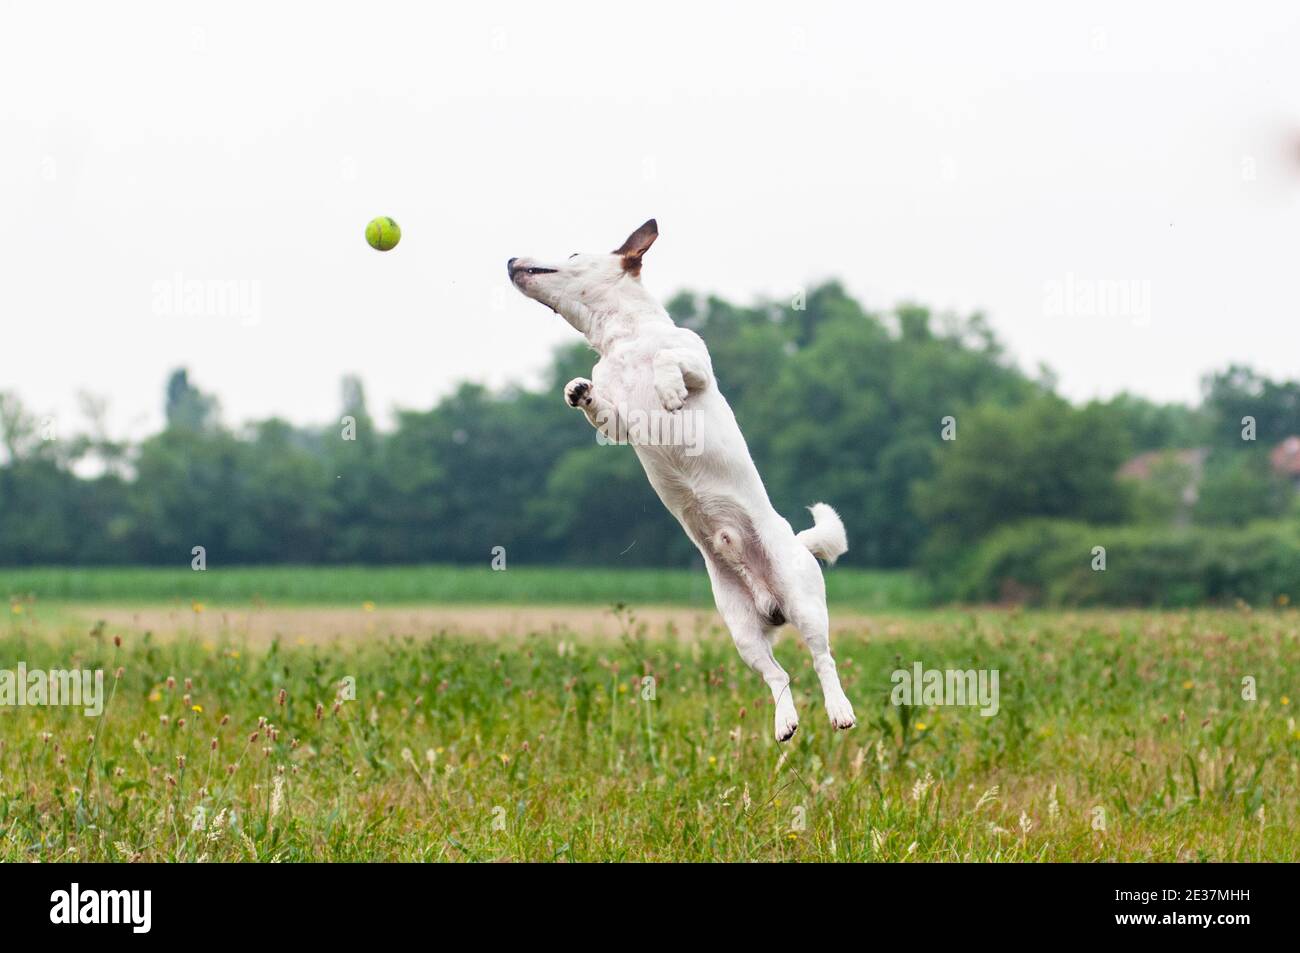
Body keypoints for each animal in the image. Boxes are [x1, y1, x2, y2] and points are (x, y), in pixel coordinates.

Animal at [512, 219, 857, 738]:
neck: (624, 340)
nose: (511, 261)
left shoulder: (698, 365)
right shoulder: (616, 423)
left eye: (572, 253)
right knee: (779, 675)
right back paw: (785, 721)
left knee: (823, 660)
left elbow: (669, 362)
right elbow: (599, 407)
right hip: (742, 631)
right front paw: (576, 390)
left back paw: (839, 710)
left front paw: (669, 390)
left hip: (804, 602)